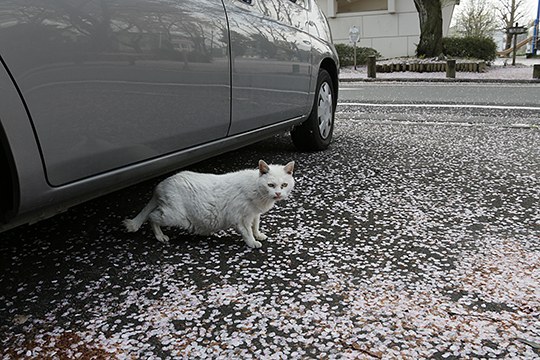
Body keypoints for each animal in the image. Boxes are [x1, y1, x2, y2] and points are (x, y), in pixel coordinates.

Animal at [123, 160, 296, 248]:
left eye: (284, 185)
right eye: (271, 185)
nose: (278, 194)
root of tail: (161, 185)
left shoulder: (255, 214)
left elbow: (256, 226)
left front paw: (258, 235)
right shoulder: (242, 218)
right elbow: (247, 232)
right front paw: (253, 242)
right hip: (174, 216)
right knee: (152, 217)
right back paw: (160, 236)